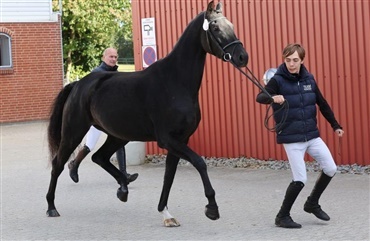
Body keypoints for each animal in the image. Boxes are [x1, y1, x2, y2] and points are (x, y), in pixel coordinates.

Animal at [47, 0, 249, 226]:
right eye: (215, 28)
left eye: (231, 25)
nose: (242, 57)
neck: (175, 82)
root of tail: (78, 85)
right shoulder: (168, 140)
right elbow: (199, 163)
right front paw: (212, 208)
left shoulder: (181, 140)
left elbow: (169, 176)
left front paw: (166, 213)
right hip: (73, 133)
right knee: (58, 164)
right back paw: (51, 207)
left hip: (118, 136)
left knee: (99, 157)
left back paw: (123, 188)